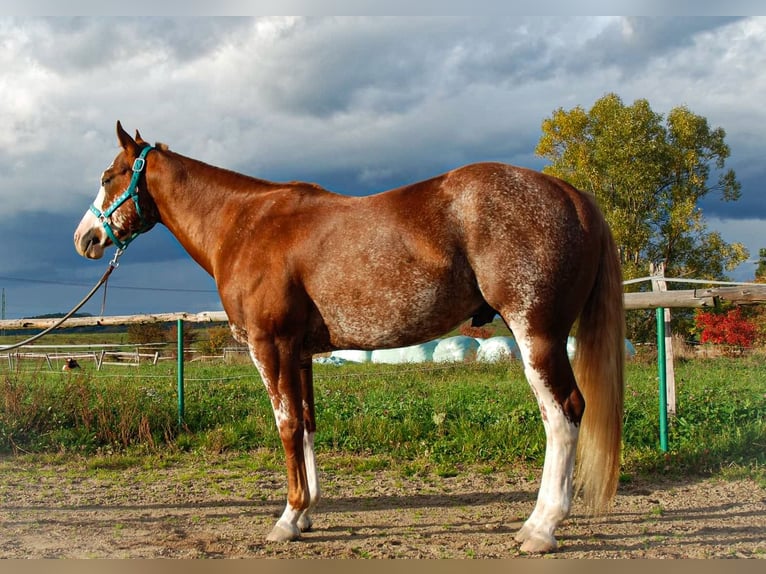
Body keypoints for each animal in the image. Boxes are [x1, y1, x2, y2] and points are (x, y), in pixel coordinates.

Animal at [75, 122, 624, 552]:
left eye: (106, 177)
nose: (85, 239)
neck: (245, 224)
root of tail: (572, 194)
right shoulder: (299, 353)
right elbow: (307, 424)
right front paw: (306, 513)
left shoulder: (269, 346)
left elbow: (286, 426)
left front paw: (286, 518)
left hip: (537, 334)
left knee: (563, 415)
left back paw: (541, 528)